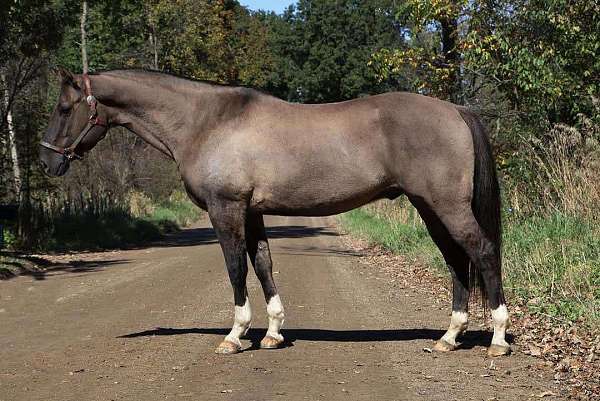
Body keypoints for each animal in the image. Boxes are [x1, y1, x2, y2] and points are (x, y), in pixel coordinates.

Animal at [39, 68, 510, 356]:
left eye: (64, 108)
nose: (47, 162)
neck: (207, 121)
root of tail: (456, 110)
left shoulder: (226, 208)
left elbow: (235, 267)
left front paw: (235, 335)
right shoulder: (252, 212)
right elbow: (263, 264)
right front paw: (272, 332)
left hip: (445, 206)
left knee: (483, 253)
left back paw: (498, 339)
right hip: (429, 208)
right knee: (457, 261)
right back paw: (449, 337)